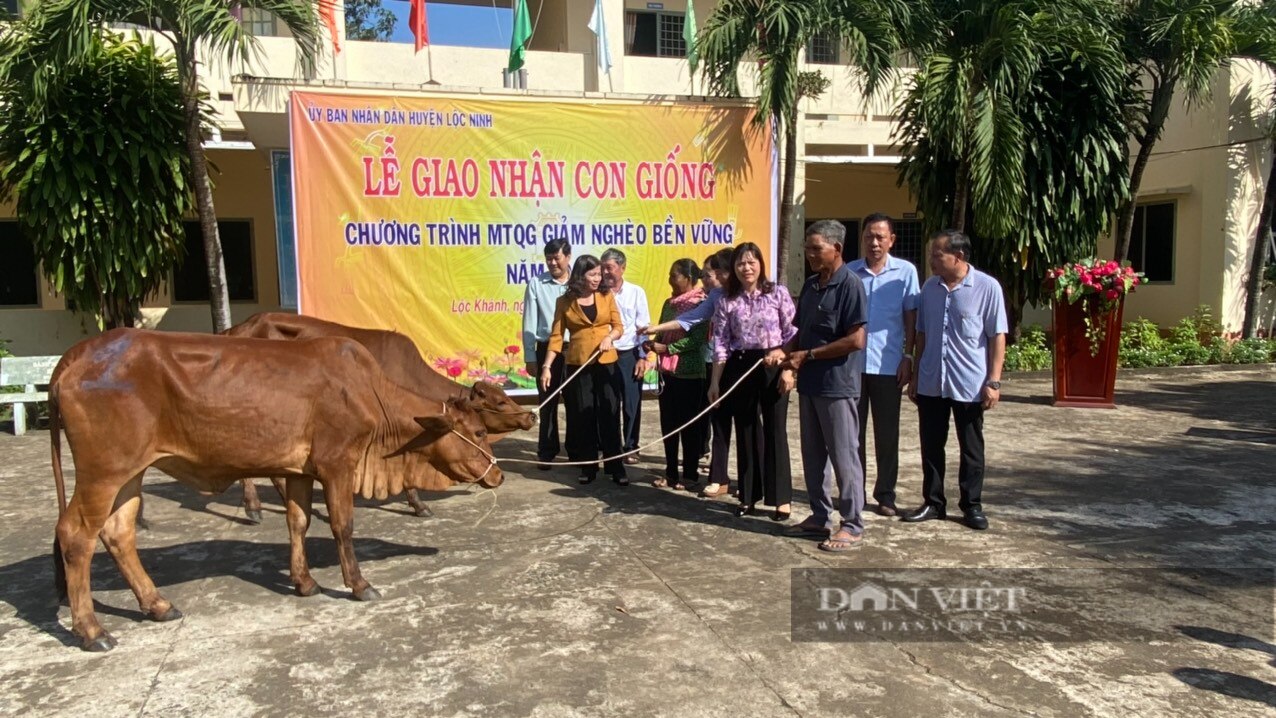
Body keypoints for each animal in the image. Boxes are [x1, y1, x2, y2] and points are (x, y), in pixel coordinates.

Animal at [49, 329, 500, 652]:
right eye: (478, 433)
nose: (498, 475)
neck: (370, 395)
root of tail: (76, 356)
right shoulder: (337, 464)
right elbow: (342, 526)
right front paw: (359, 585)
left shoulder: (299, 470)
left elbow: (298, 522)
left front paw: (304, 582)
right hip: (103, 473)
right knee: (76, 536)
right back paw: (92, 631)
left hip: (130, 475)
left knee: (118, 533)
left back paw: (158, 605)